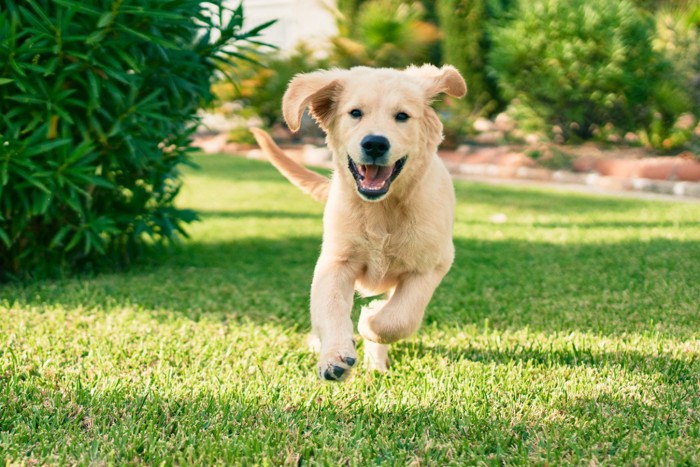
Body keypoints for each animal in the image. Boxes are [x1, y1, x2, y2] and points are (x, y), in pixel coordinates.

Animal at [249, 64, 468, 382]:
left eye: (402, 116)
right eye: (355, 113)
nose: (375, 143)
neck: (381, 210)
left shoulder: (431, 265)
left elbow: (399, 318)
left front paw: (370, 318)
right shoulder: (336, 261)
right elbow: (330, 306)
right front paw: (334, 357)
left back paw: (376, 361)